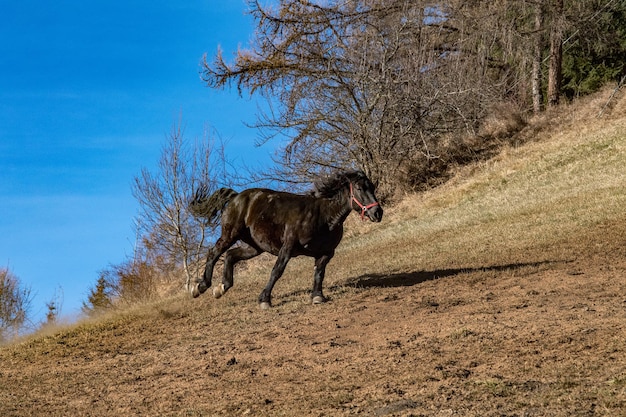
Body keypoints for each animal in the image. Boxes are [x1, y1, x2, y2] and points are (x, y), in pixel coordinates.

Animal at [186, 169, 380, 308]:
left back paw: (221, 288)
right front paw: (265, 300)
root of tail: (236, 197)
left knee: (230, 256)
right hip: (230, 235)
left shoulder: (326, 253)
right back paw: (200, 287)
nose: (378, 212)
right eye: (360, 188)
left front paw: (317, 297)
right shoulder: (287, 247)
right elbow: (277, 271)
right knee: (214, 253)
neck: (323, 216)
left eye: (372, 187)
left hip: (254, 247)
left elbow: (319, 273)